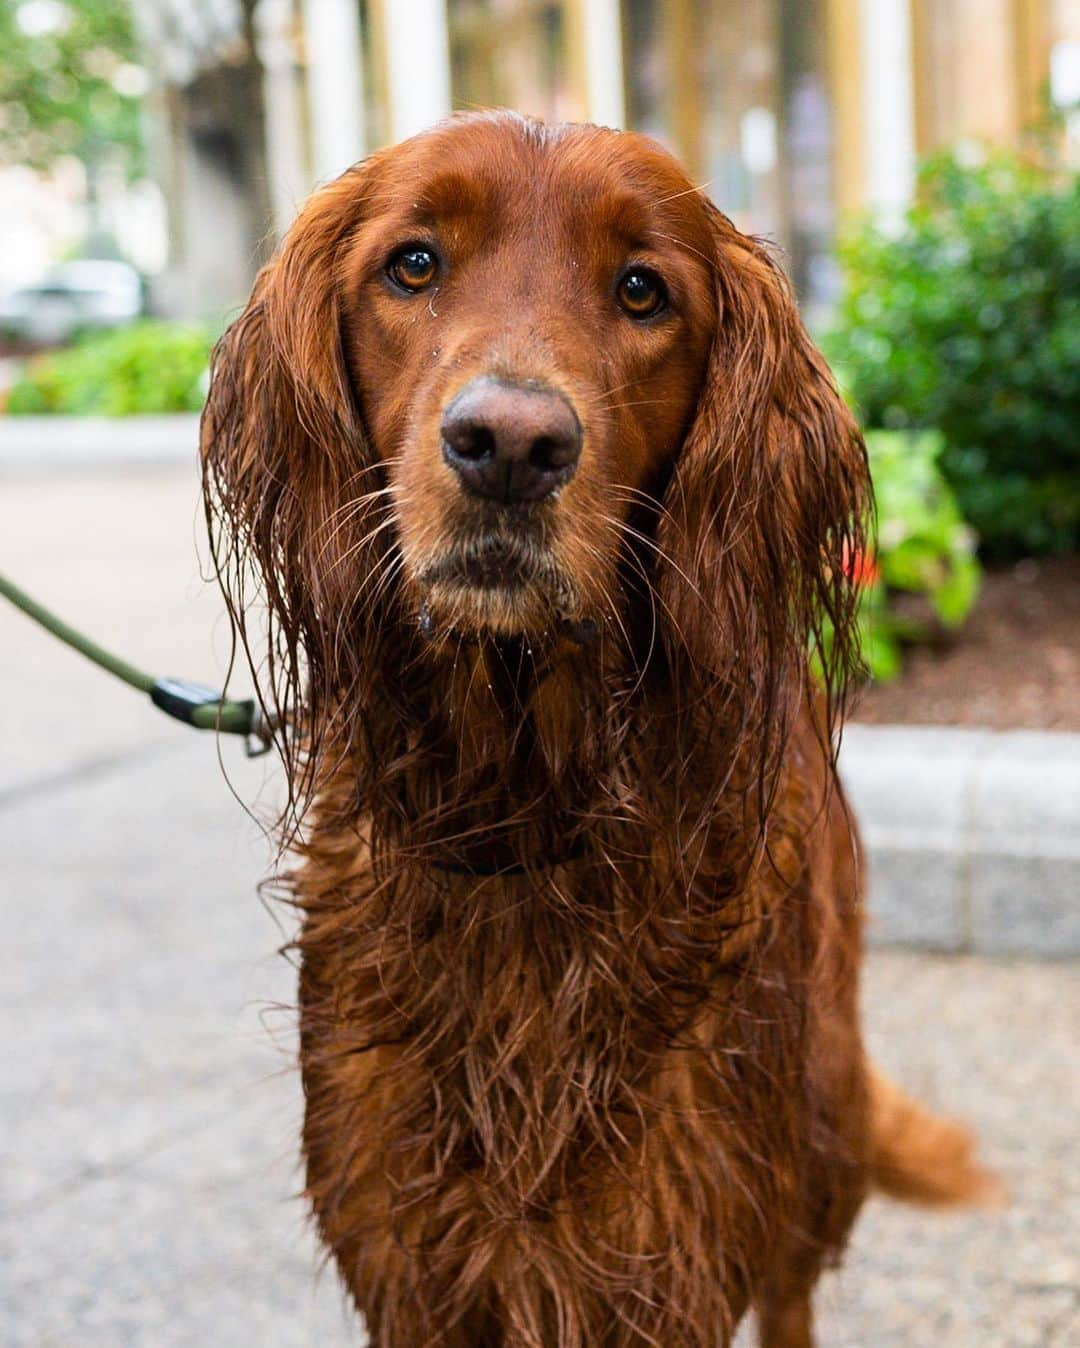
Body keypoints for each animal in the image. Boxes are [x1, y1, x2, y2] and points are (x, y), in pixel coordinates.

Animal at [202, 110, 992, 1342]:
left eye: (640, 290)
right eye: (413, 264)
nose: (510, 445)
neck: (525, 812)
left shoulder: (668, 1249)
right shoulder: (409, 1259)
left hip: (810, 1136)